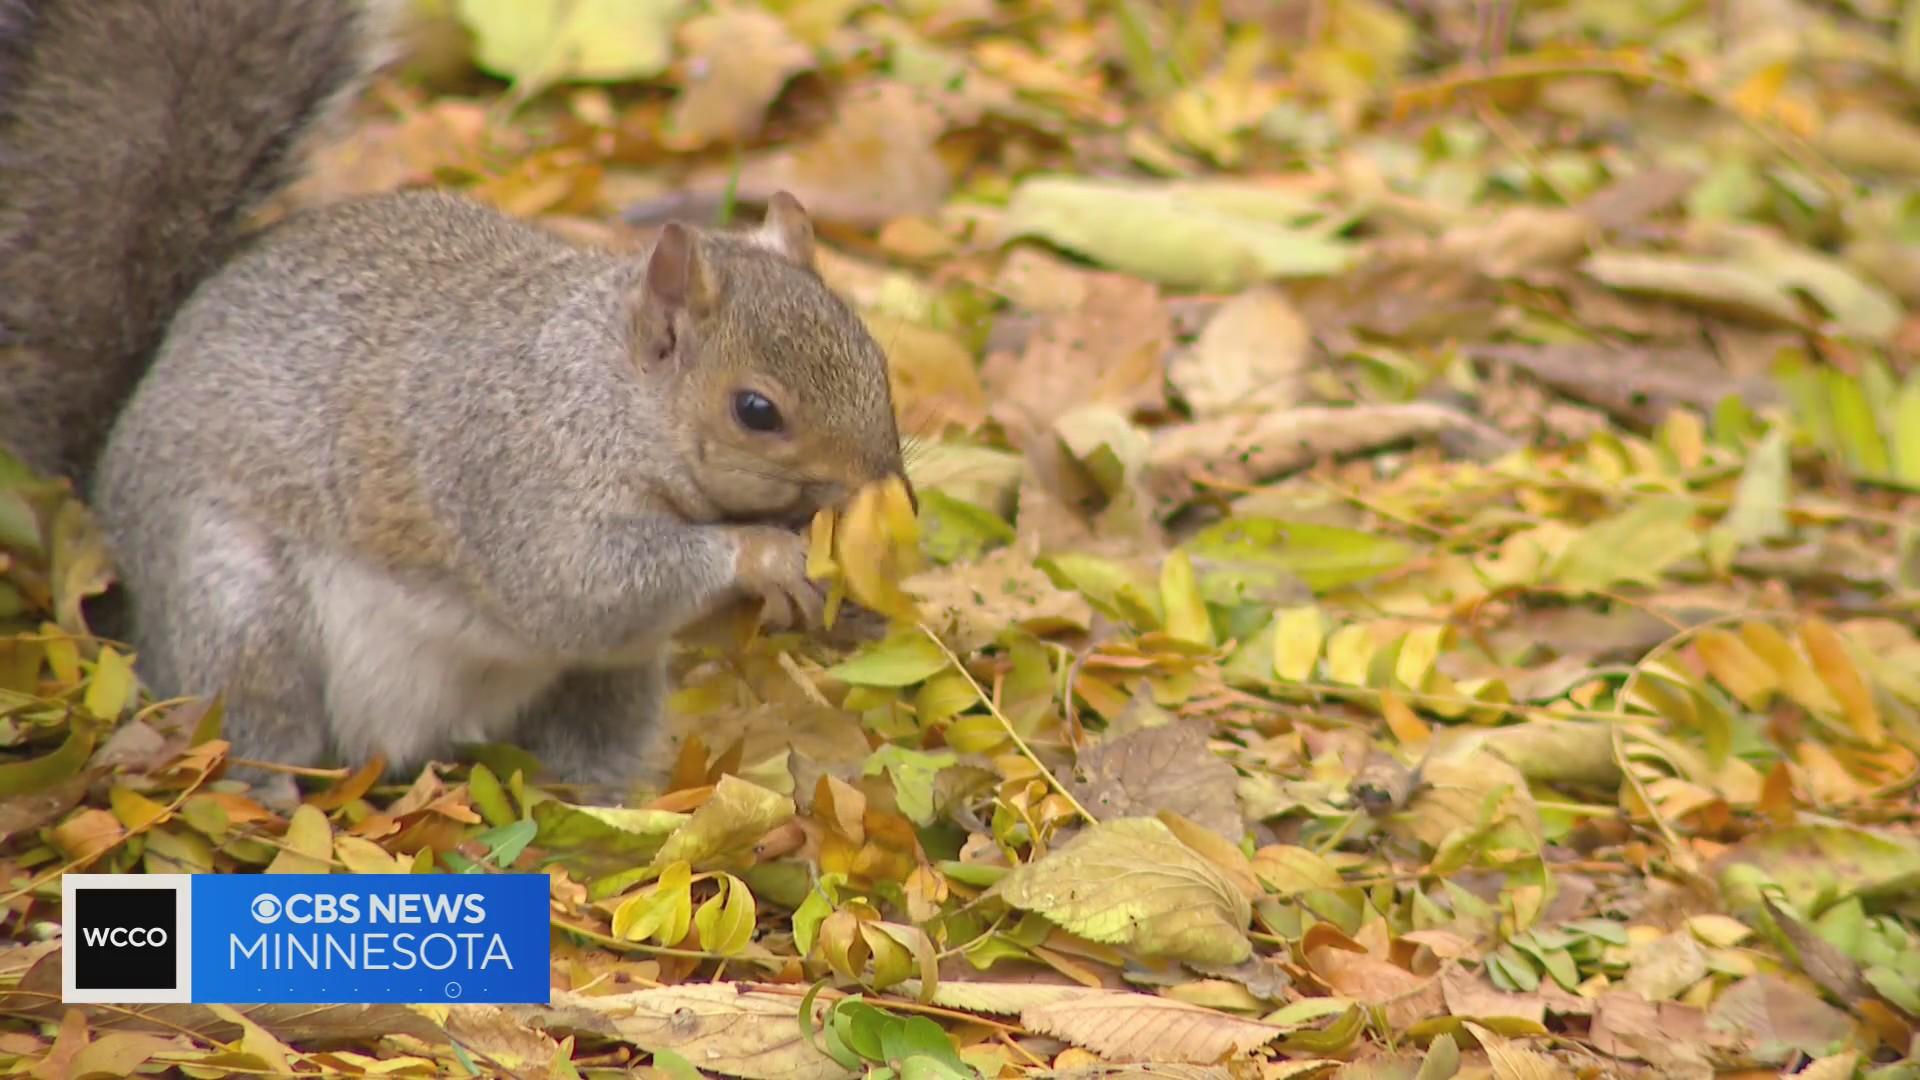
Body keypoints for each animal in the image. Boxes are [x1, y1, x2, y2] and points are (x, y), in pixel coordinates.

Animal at [0, 0, 911, 803]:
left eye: (877, 356)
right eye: (757, 411)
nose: (884, 487)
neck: (601, 393)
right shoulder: (514, 480)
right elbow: (583, 586)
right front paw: (767, 556)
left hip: (606, 683)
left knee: (591, 738)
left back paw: (619, 803)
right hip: (235, 614)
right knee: (252, 723)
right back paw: (270, 798)